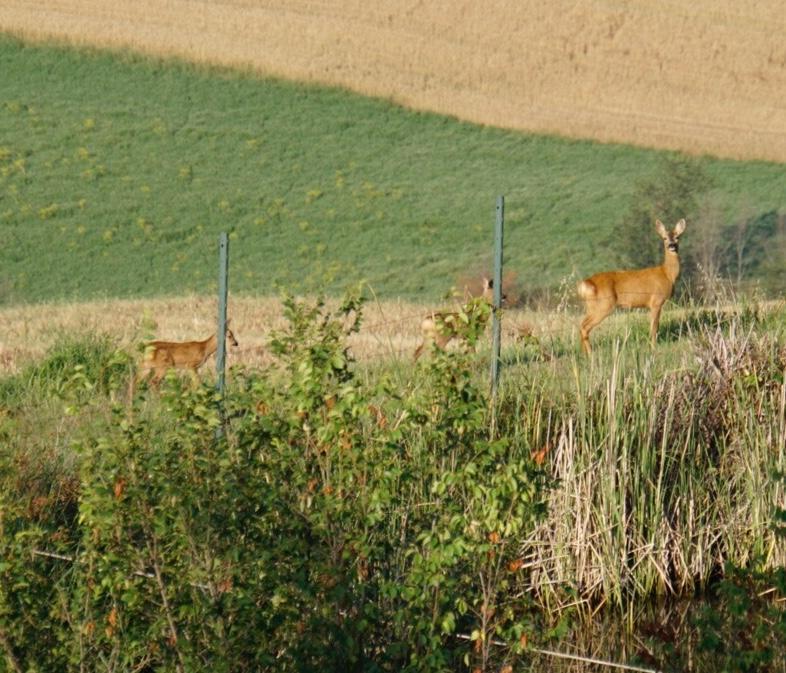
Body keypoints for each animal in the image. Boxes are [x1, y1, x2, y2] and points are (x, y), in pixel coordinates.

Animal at [576, 219, 688, 356]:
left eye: (677, 237)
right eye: (664, 238)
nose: (671, 245)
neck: (667, 274)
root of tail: (586, 283)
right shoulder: (656, 301)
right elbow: (654, 327)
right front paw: (653, 348)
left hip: (591, 306)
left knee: (581, 325)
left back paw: (584, 353)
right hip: (604, 305)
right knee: (584, 327)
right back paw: (591, 354)